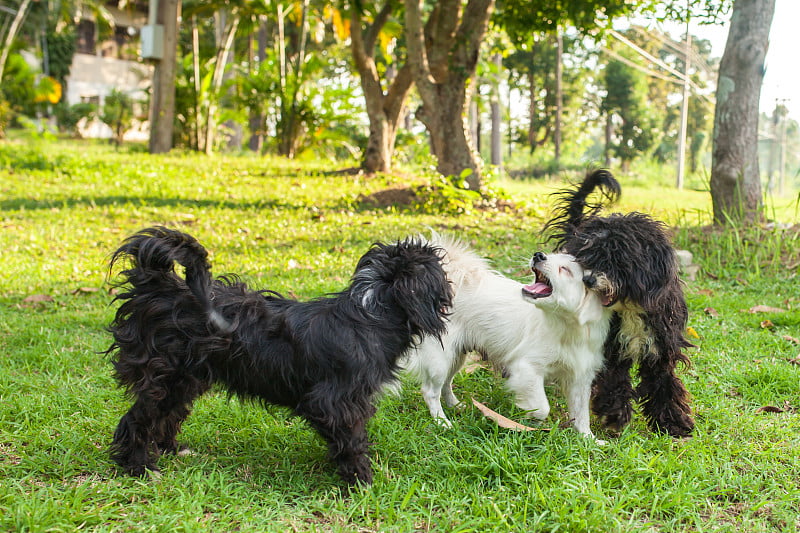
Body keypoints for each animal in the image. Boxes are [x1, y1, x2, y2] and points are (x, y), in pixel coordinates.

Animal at [106, 227, 454, 484]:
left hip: (187, 379)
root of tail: (162, 288)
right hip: (166, 377)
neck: (372, 312)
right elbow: (352, 440)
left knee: (168, 414)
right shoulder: (334, 401)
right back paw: (138, 465)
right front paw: (361, 479)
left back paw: (171, 450)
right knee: (139, 419)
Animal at [406, 235, 612, 438]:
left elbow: (581, 413)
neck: (566, 329)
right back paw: (442, 421)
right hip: (439, 359)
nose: (538, 255)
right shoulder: (526, 368)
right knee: (430, 391)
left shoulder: (580, 379)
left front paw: (589, 439)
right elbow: (542, 407)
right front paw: (529, 419)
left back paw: (455, 406)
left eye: (565, 270)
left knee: (446, 384)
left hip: (455, 356)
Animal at [544, 170, 692, 436]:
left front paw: (673, 422)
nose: (588, 280)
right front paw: (616, 415)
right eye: (588, 256)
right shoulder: (611, 349)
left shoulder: (661, 347)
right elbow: (615, 380)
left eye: (618, 259)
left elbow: (664, 383)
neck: (631, 307)